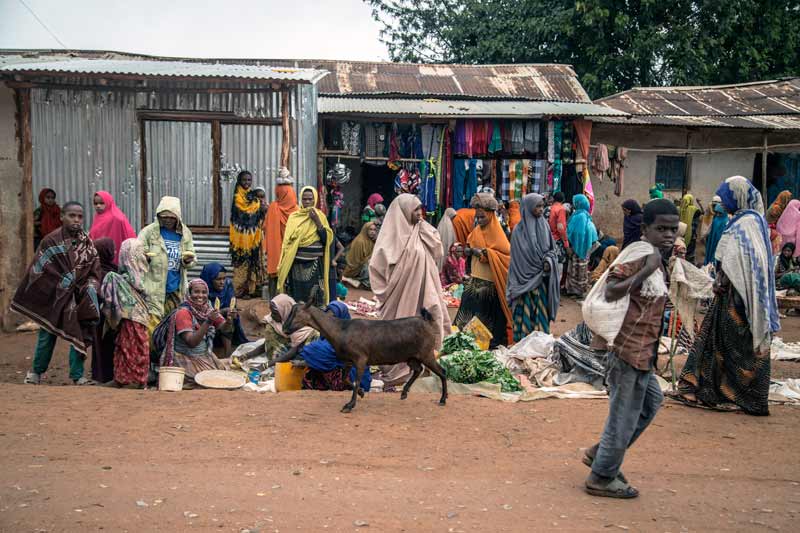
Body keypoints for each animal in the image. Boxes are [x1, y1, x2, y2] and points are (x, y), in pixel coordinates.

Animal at [282, 300, 446, 412]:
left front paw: (349, 405)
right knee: (418, 370)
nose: (285, 328)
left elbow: (357, 380)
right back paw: (404, 392)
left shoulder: (361, 360)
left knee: (442, 372)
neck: (341, 329)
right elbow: (345, 379)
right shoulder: (348, 361)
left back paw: (443, 399)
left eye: (295, 313)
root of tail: (427, 321)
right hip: (412, 357)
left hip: (426, 353)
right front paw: (360, 393)